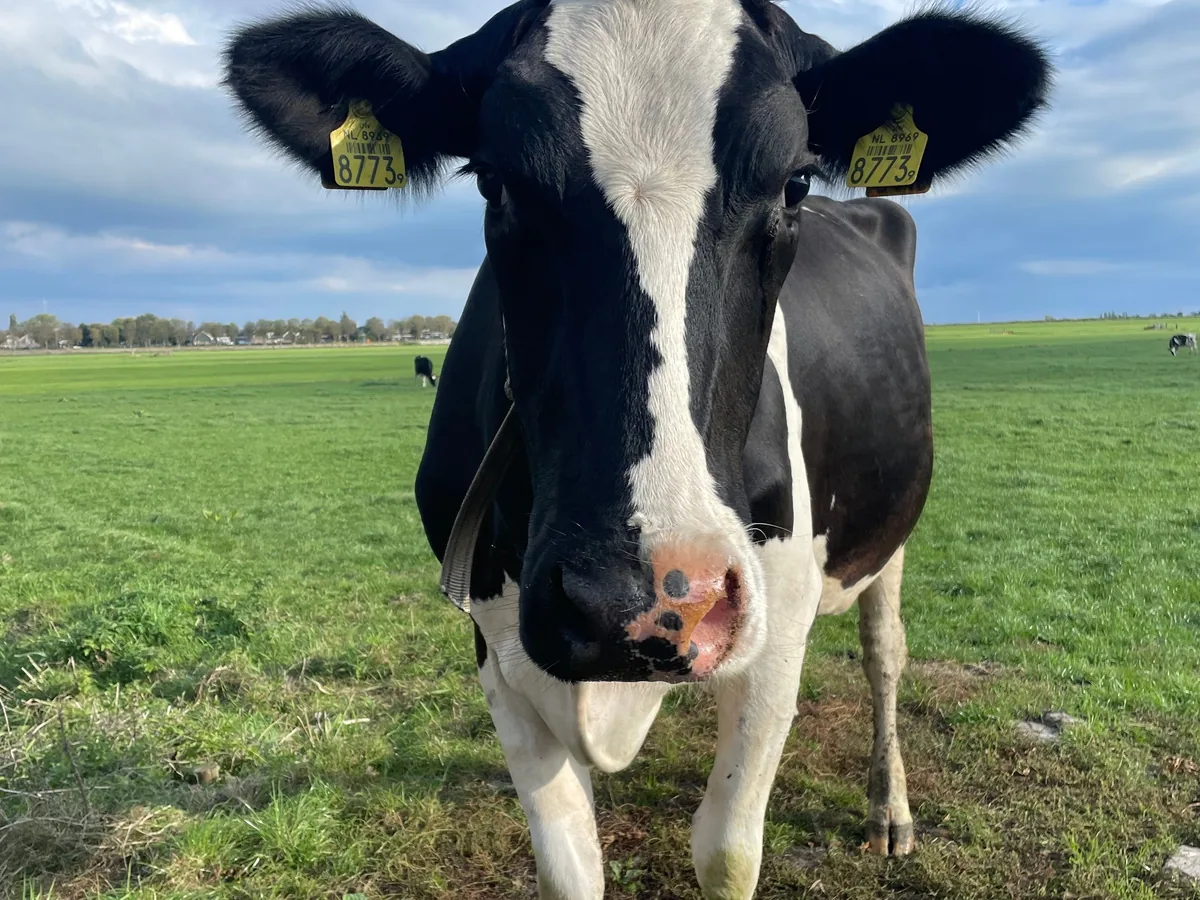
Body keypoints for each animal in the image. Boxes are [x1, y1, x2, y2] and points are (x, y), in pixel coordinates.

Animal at [223, 2, 1051, 896]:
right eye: (493, 179)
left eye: (793, 182)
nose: (640, 599)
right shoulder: (496, 644)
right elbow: (570, 864)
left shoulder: (774, 630)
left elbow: (725, 850)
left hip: (883, 537)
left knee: (884, 654)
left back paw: (889, 808)